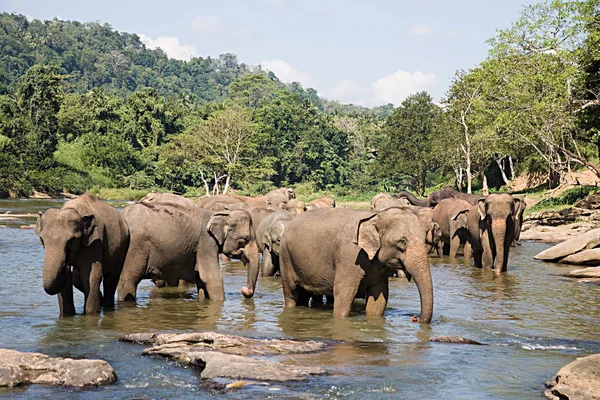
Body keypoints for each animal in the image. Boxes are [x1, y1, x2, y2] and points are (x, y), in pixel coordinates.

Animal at [116, 205, 258, 302]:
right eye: (244, 239)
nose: (244, 289)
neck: (221, 214)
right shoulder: (206, 243)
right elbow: (211, 277)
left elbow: (201, 279)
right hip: (134, 249)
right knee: (128, 281)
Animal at [278, 208, 434, 320]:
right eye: (402, 242)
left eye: (425, 240)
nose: (415, 318)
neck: (375, 216)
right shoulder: (349, 256)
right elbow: (344, 293)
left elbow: (378, 298)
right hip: (285, 256)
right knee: (291, 293)